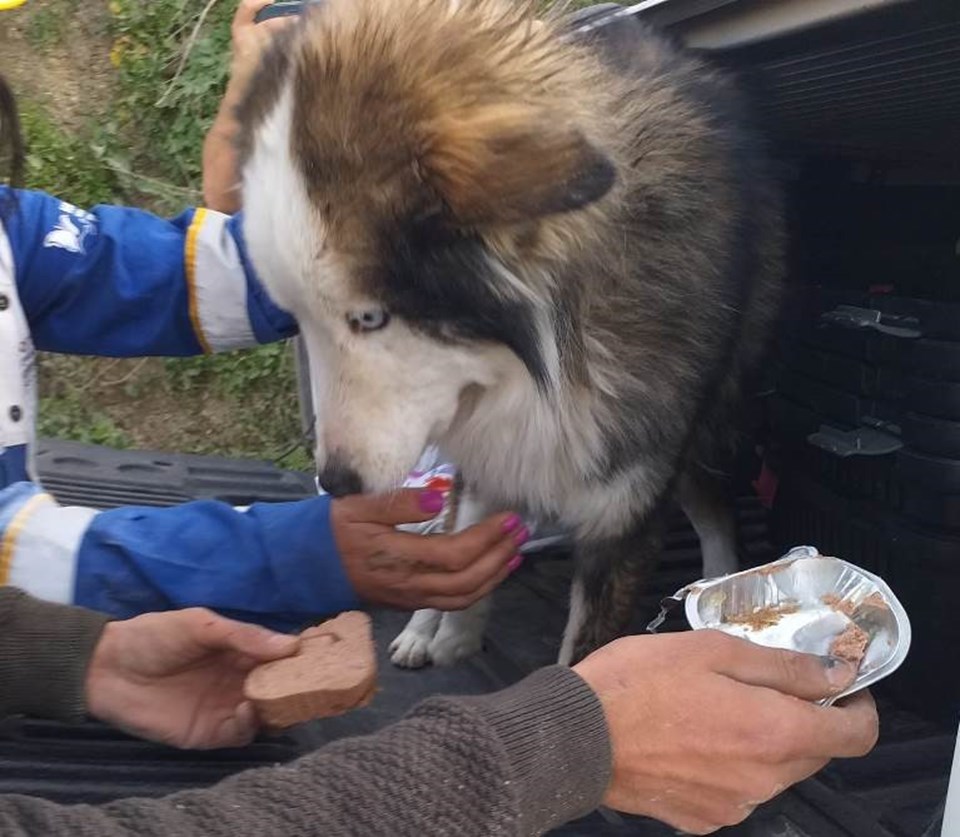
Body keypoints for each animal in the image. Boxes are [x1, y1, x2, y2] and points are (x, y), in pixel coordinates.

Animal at [236, 0, 784, 668]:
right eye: (295, 315)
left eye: (370, 318)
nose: (337, 487)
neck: (538, 358)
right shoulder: (487, 446)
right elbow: (464, 530)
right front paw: (449, 630)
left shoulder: (624, 504)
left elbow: (587, 654)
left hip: (705, 428)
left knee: (713, 507)